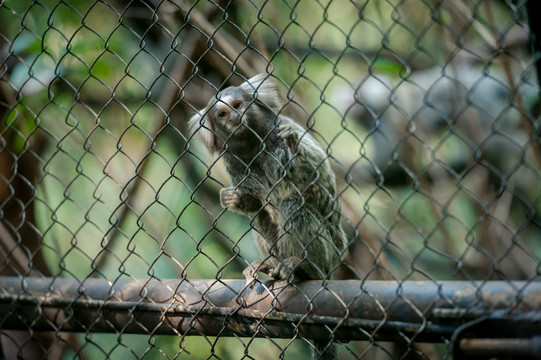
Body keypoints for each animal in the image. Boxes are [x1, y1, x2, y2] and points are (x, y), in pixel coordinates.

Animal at [188, 74, 344, 360]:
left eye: (238, 104)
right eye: (222, 113)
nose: (234, 118)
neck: (253, 147)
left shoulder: (284, 131)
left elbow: (312, 173)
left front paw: (293, 146)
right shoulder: (233, 165)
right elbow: (253, 203)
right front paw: (232, 199)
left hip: (329, 255)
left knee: (292, 204)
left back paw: (302, 266)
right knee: (261, 217)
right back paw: (270, 263)